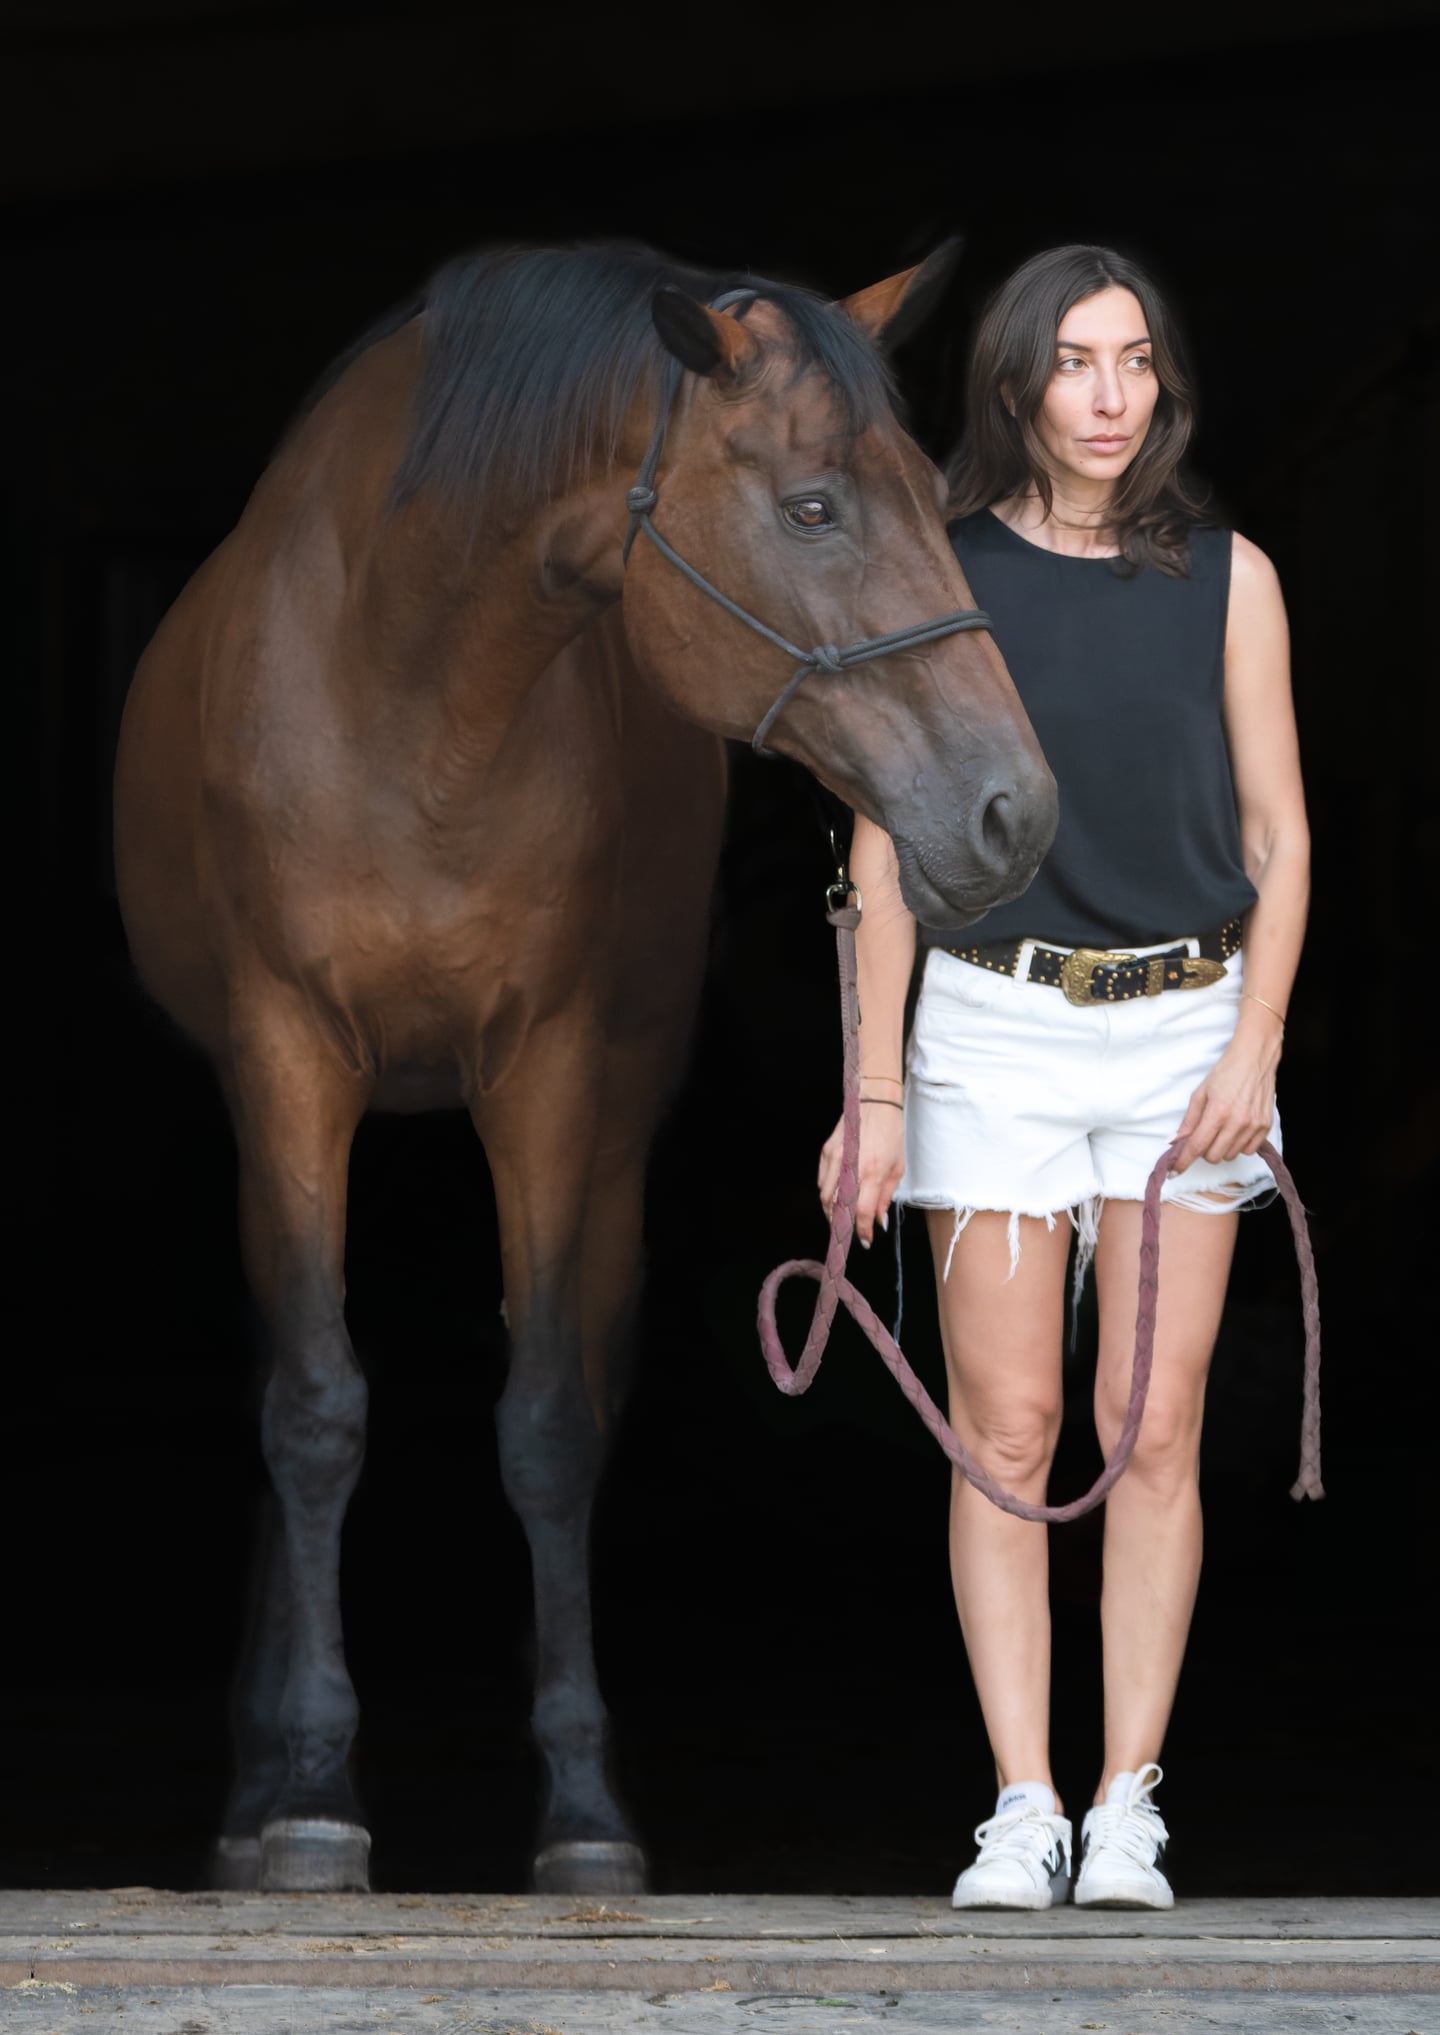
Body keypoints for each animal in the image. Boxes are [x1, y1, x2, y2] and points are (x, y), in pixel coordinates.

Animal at [113, 239, 1057, 1896]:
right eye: (814, 507)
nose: (1015, 811)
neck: (405, 690)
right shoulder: (289, 1057)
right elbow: (315, 1406)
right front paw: (308, 1792)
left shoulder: (545, 1073)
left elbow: (547, 1422)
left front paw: (582, 1809)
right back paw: (254, 1784)